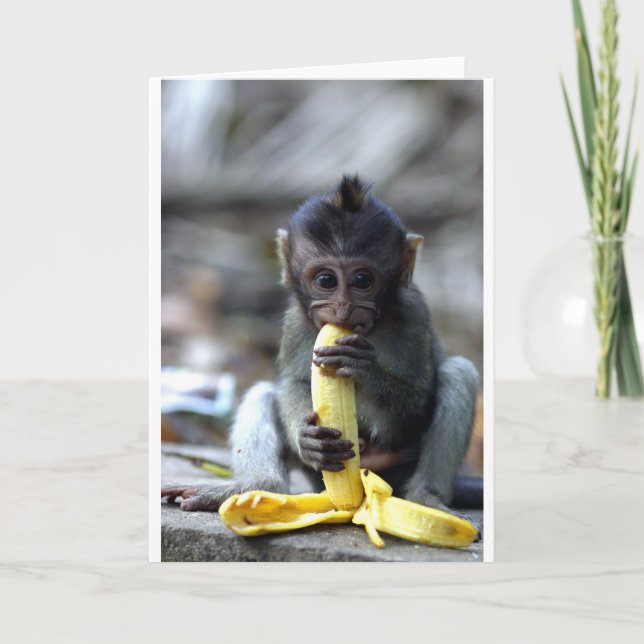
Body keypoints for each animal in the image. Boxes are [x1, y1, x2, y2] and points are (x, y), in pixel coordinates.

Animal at [162, 175, 481, 515]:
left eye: (363, 280)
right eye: (326, 280)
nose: (342, 309)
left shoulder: (414, 315)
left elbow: (414, 408)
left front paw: (362, 368)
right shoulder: (296, 321)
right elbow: (293, 383)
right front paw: (307, 439)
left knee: (459, 372)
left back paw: (425, 496)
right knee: (264, 393)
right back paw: (254, 487)